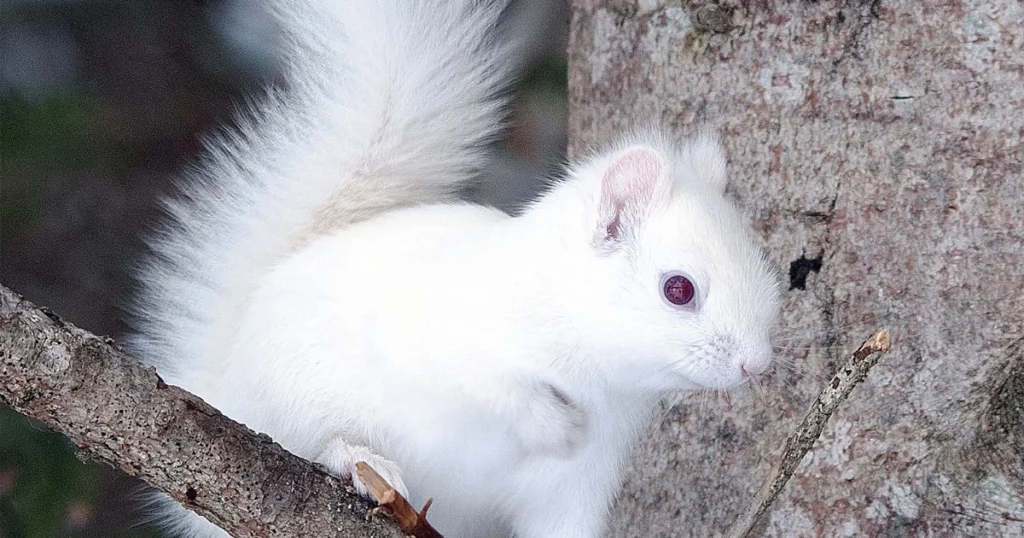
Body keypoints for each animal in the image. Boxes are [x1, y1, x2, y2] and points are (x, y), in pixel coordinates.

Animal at [132, 1, 778, 536]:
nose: (757, 365)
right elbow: (488, 385)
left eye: (768, 274)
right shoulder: (438, 336)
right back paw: (355, 459)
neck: (597, 375)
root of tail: (224, 385)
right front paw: (553, 426)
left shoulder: (576, 486)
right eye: (678, 289)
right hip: (291, 399)